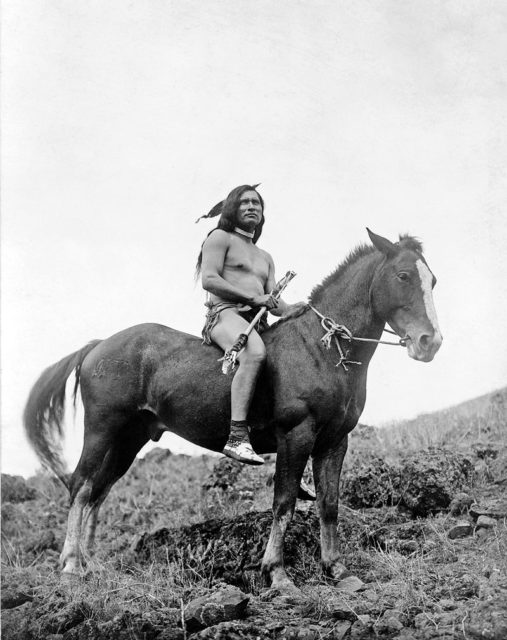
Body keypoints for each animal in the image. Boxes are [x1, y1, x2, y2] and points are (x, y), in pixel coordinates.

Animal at [23, 229, 442, 592]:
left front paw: (336, 570)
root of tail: (99, 345)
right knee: (80, 486)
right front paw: (277, 573)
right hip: (102, 429)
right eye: (403, 275)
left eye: (432, 280)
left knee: (99, 491)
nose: (430, 342)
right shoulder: (296, 435)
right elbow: (284, 504)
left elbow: (329, 505)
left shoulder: (335, 441)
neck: (320, 349)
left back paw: (89, 562)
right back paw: (71, 565)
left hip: (129, 439)